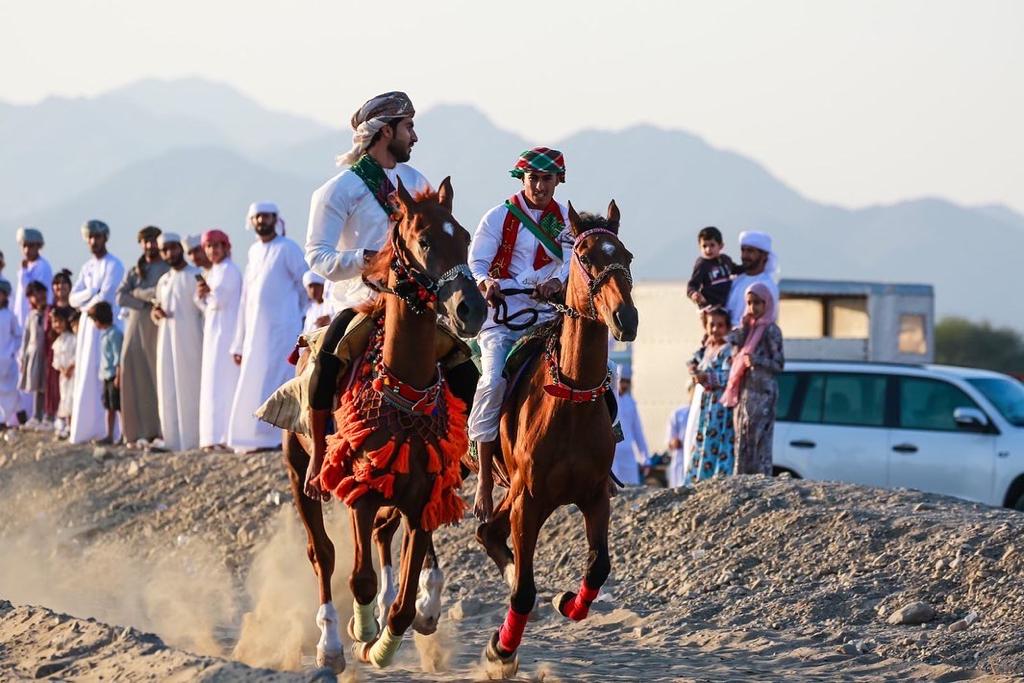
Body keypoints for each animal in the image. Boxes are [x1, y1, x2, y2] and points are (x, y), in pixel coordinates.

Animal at [280, 177, 487, 672]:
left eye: (464, 237)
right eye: (425, 240)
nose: (471, 309)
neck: (404, 386)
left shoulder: (422, 496)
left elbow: (405, 601)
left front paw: (384, 642)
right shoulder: (362, 491)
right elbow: (360, 579)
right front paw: (361, 633)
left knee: (380, 540)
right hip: (299, 471)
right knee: (322, 553)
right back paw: (331, 644)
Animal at [475, 200, 637, 678]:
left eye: (626, 255)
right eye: (584, 256)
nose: (626, 319)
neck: (569, 398)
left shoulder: (594, 493)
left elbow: (599, 566)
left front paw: (569, 603)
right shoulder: (529, 500)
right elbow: (525, 592)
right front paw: (501, 651)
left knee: (489, 533)